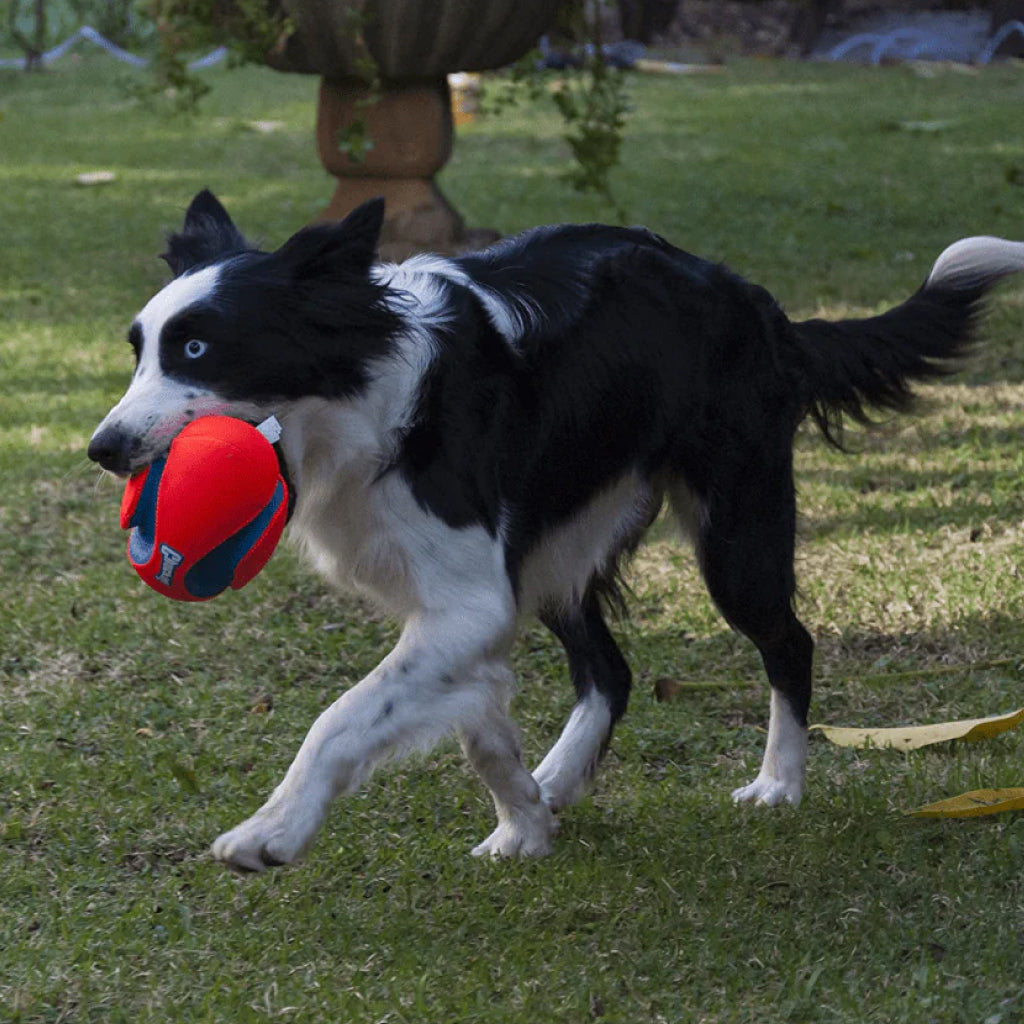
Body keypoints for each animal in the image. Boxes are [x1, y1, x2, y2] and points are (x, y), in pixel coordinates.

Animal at [90, 188, 1024, 868]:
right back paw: (562, 780)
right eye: (139, 349)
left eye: (198, 350)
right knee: (610, 670)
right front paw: (527, 823)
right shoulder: (467, 602)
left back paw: (778, 785)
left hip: (735, 528)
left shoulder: (467, 599)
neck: (358, 396)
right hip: (561, 543)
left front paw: (271, 832)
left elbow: (343, 718)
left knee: (788, 641)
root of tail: (759, 305)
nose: (104, 448)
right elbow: (479, 725)